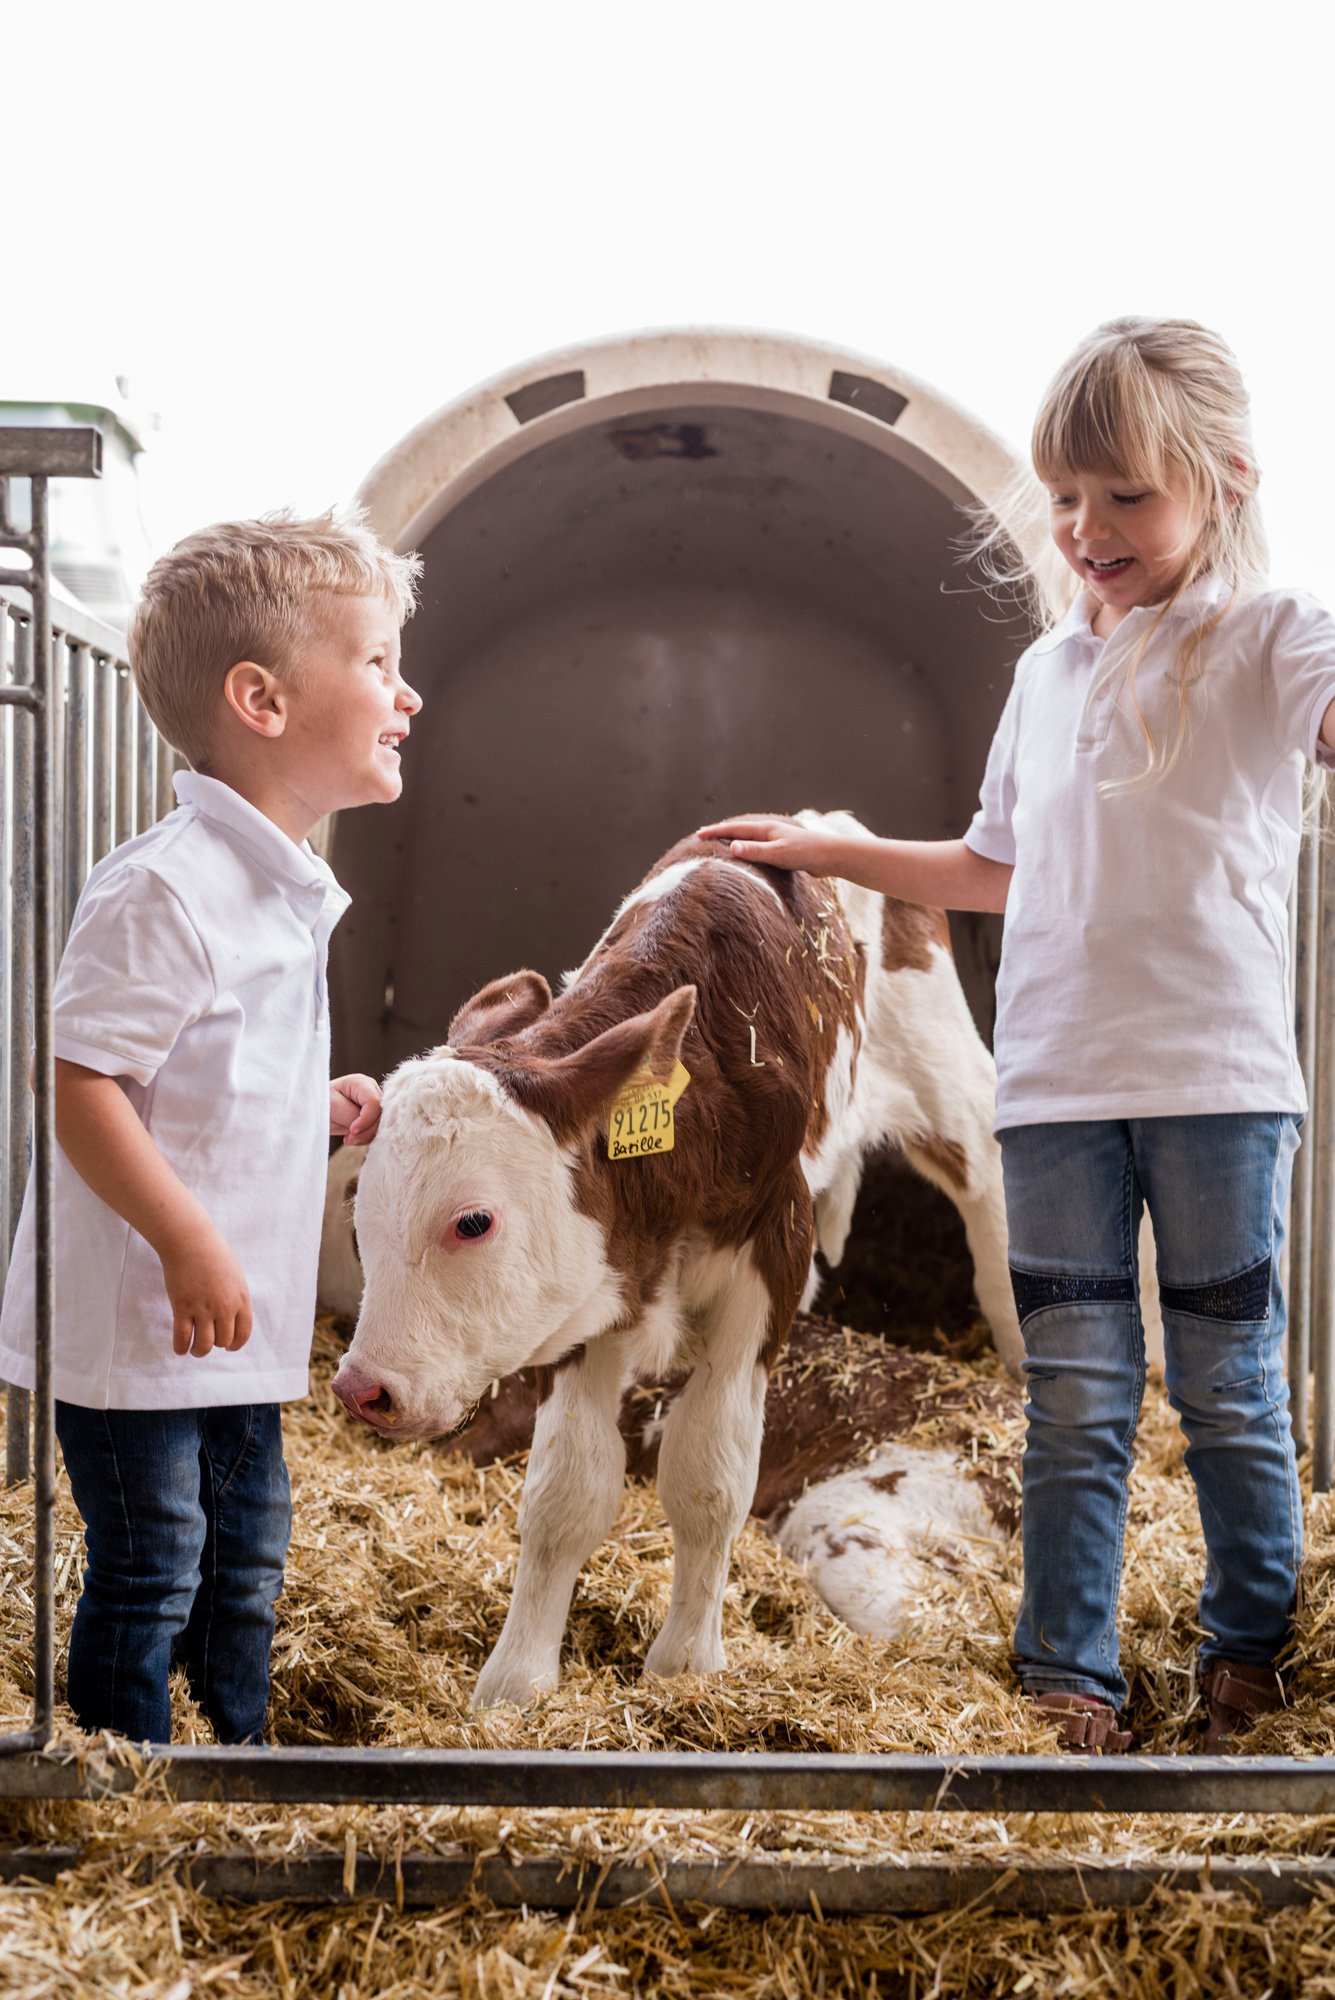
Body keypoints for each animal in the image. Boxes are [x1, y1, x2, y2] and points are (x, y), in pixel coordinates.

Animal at [335, 808, 1023, 1704]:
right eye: (360, 1207)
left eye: (473, 1221)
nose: (361, 1388)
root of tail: (819, 820)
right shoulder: (594, 1289)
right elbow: (564, 1493)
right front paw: (517, 1685)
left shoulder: (770, 1259)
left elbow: (709, 1476)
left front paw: (686, 1665)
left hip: (945, 1076)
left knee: (988, 1195)